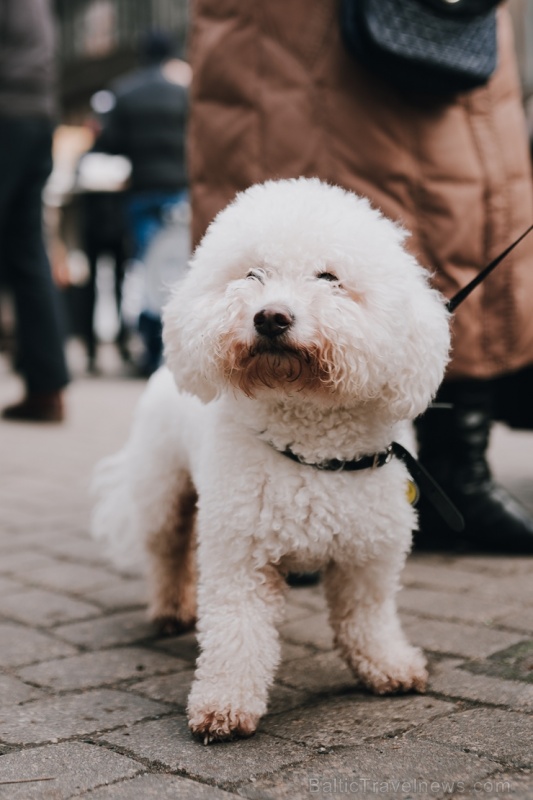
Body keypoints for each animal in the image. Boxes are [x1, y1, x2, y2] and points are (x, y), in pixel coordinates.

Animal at [92, 178, 448, 740]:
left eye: (330, 278)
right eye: (252, 274)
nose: (271, 316)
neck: (308, 443)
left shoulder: (369, 555)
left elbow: (367, 617)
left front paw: (388, 665)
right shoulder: (241, 556)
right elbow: (238, 633)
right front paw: (224, 704)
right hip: (163, 492)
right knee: (167, 552)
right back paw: (171, 608)